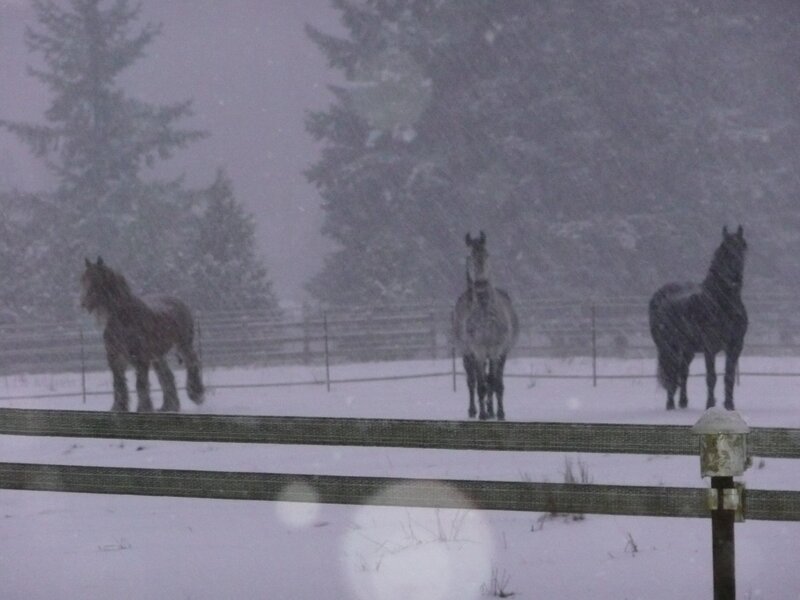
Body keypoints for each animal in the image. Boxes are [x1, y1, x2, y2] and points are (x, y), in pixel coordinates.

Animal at [80, 257, 205, 412]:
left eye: (98, 279)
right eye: (83, 279)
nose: (84, 303)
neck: (123, 318)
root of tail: (179, 302)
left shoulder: (140, 359)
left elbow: (140, 384)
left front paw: (143, 408)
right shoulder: (115, 358)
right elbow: (119, 384)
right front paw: (118, 408)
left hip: (183, 345)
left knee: (192, 363)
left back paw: (196, 394)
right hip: (158, 356)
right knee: (166, 376)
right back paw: (169, 406)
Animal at [453, 231, 519, 420]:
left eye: (487, 255)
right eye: (469, 257)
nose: (480, 285)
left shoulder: (497, 350)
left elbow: (496, 383)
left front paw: (500, 413)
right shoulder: (478, 351)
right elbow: (481, 385)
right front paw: (482, 414)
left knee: (490, 380)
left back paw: (491, 410)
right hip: (467, 354)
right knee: (472, 382)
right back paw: (473, 410)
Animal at [648, 225, 748, 411]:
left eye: (743, 247)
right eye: (724, 249)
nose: (736, 276)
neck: (722, 304)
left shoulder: (735, 346)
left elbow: (729, 376)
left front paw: (729, 405)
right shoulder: (710, 347)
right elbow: (711, 377)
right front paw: (710, 405)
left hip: (688, 349)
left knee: (683, 372)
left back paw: (683, 402)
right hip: (668, 348)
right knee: (671, 372)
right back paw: (670, 404)